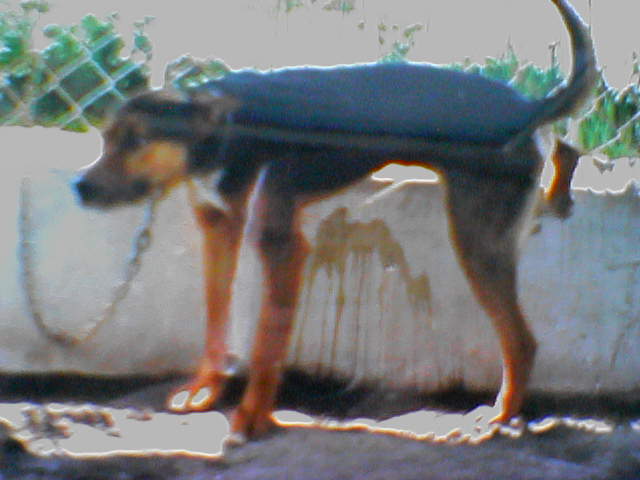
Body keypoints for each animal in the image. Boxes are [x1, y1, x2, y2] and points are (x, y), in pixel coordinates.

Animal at [73, 0, 596, 441]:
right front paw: (207, 390)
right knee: (564, 150)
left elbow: (266, 343)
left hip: (475, 237)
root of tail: (528, 106)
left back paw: (501, 416)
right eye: (107, 137)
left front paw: (251, 419)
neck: (224, 133)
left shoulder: (281, 244)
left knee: (522, 341)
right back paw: (557, 194)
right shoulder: (218, 228)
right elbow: (217, 319)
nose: (79, 187)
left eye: (138, 140)